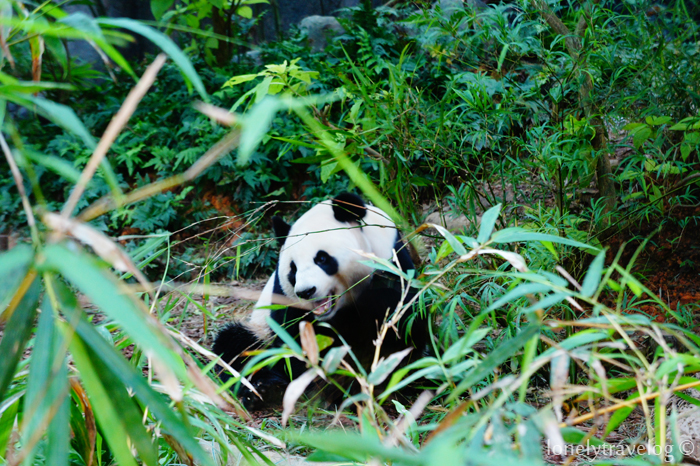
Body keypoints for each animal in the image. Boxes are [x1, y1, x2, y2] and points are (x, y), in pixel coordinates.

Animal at [213, 192, 427, 409]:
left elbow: (399, 330)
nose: (306, 291)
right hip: (260, 330)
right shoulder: (284, 300)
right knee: (237, 348)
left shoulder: (393, 267)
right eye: (293, 269)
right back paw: (264, 390)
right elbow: (292, 342)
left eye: (322, 259)